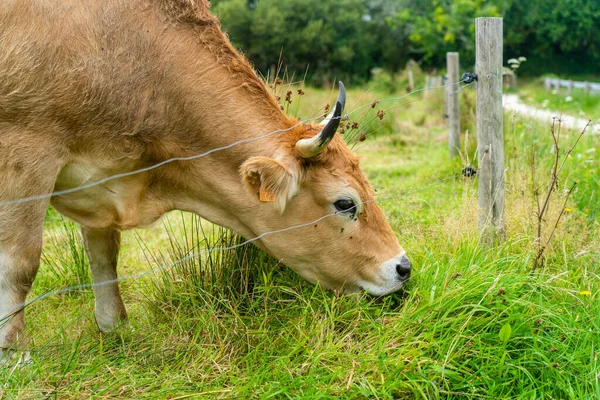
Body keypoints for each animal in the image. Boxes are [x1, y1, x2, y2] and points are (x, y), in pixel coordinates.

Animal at [0, 0, 412, 352]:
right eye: (345, 203)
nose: (403, 267)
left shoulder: (101, 184)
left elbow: (104, 256)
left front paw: (113, 327)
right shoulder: (26, 150)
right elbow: (21, 262)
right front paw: (15, 353)